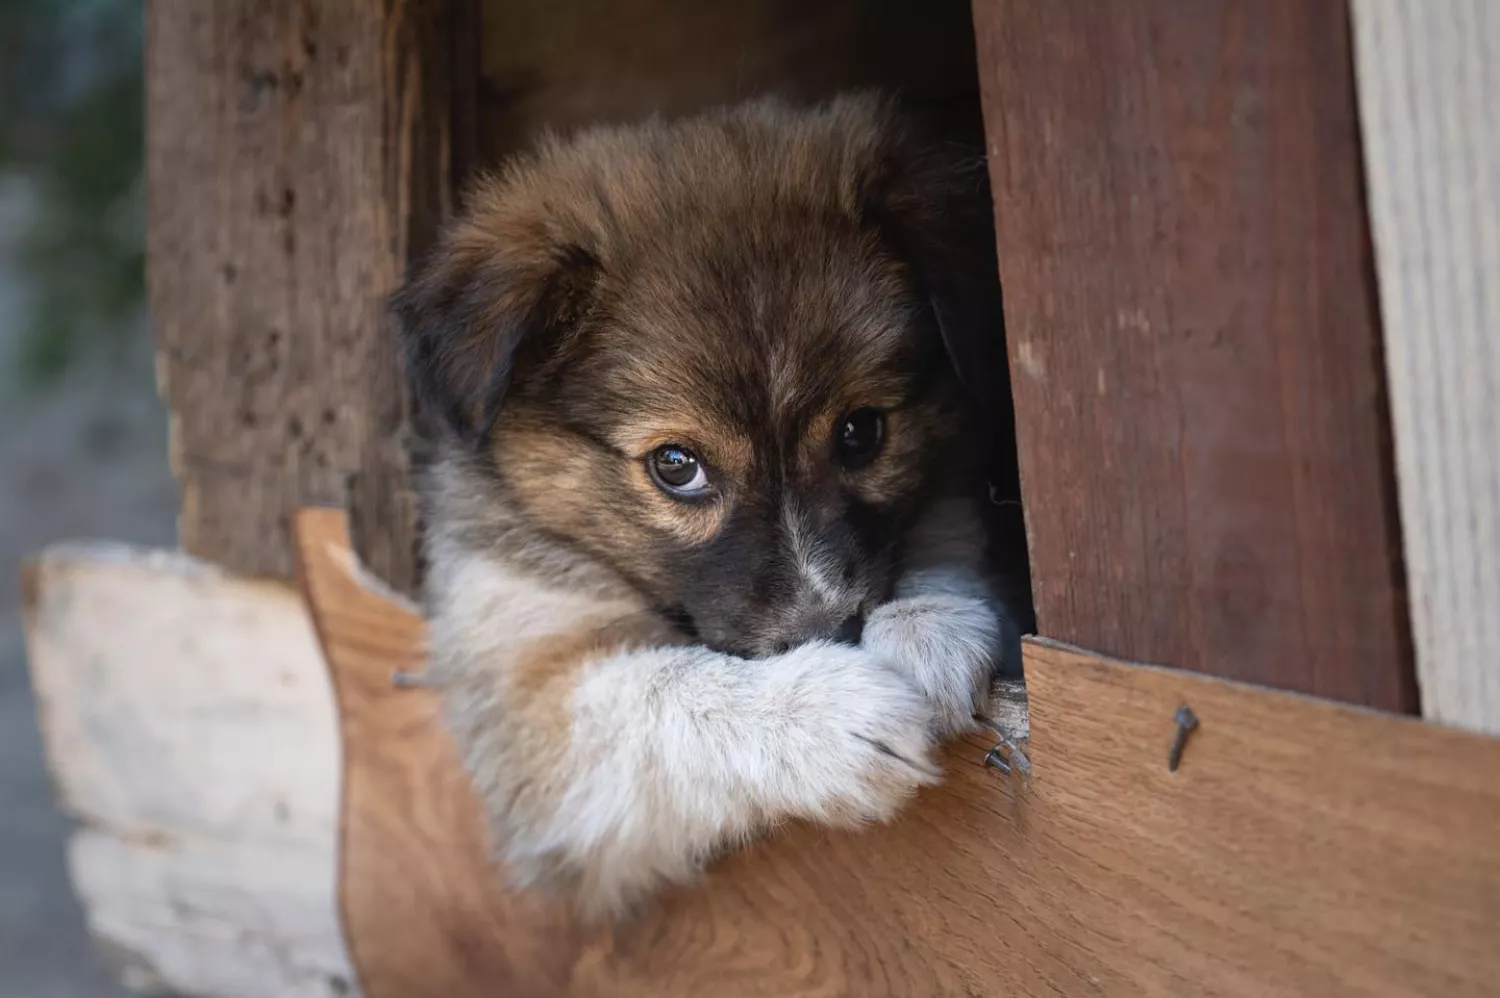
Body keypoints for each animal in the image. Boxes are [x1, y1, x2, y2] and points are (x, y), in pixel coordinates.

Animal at [390, 93, 1020, 918]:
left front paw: (931, 627)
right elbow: (665, 693)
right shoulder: (527, 700)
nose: (831, 633)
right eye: (676, 465)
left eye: (862, 433)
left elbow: (947, 527)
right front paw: (828, 715)